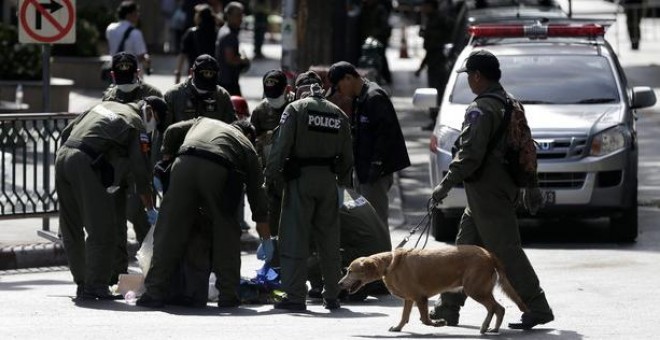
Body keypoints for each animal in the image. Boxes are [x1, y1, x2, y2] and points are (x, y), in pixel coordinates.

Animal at [338, 246, 528, 334]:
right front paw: (398, 328)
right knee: (497, 308)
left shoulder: (420, 298)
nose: (339, 284)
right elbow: (404, 316)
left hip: (475, 289)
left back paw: (488, 328)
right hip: (479, 290)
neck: (389, 264)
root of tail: (489, 254)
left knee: (496, 308)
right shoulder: (409, 299)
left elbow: (425, 319)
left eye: (350, 271)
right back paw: (491, 328)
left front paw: (438, 323)